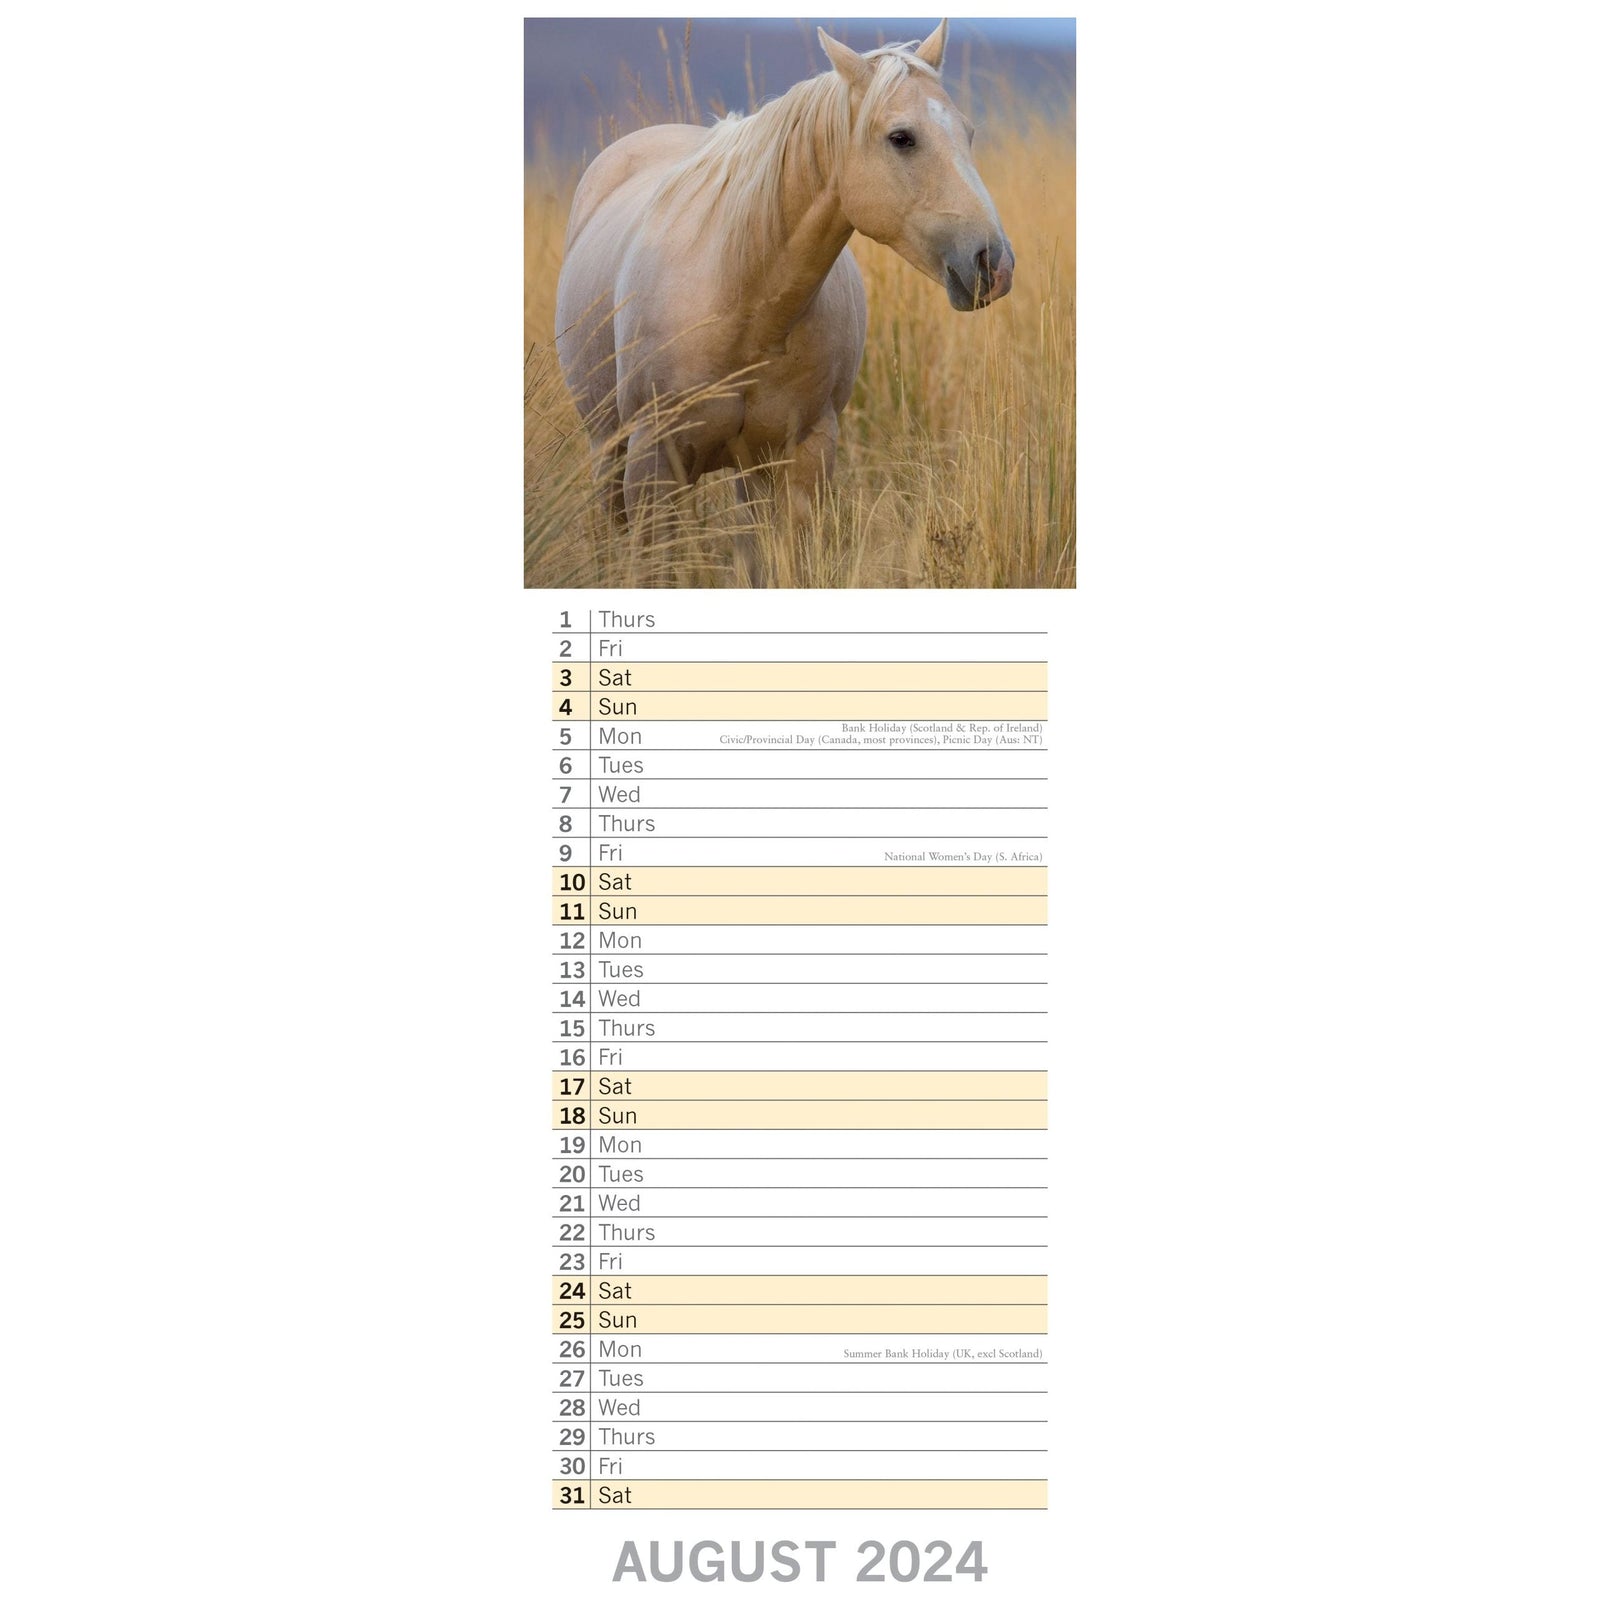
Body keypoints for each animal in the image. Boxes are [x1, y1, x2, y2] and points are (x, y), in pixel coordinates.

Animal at [553, 20, 1015, 585]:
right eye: (902, 138)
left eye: (968, 133)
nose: (994, 264)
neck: (746, 302)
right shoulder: (652, 458)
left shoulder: (805, 455)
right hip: (608, 449)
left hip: (748, 473)